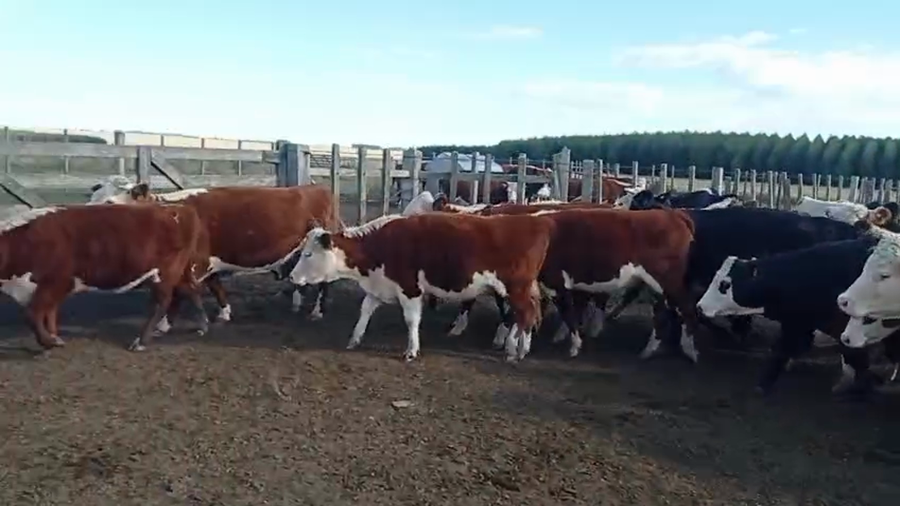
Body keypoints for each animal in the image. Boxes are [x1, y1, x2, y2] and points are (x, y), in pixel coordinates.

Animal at [0, 204, 206, 352]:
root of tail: (178, 209)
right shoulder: (53, 287)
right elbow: (49, 313)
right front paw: (54, 337)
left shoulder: (56, 282)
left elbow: (32, 314)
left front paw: (49, 342)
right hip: (176, 272)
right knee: (189, 291)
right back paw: (202, 325)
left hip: (164, 273)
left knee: (162, 302)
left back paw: (141, 341)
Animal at [87, 180, 339, 329]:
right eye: (92, 199)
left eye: (110, 202)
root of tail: (317, 187)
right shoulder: (204, 261)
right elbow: (214, 285)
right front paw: (224, 313)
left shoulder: (193, 262)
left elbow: (180, 292)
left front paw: (164, 324)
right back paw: (296, 302)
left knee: (324, 282)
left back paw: (317, 311)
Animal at [288, 212, 553, 362]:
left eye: (308, 254)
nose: (291, 277)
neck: (380, 246)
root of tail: (537, 221)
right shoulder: (379, 286)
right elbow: (365, 311)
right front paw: (355, 338)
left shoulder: (410, 289)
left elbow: (412, 320)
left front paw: (411, 350)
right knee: (527, 315)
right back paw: (519, 347)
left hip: (516, 288)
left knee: (525, 315)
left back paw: (515, 351)